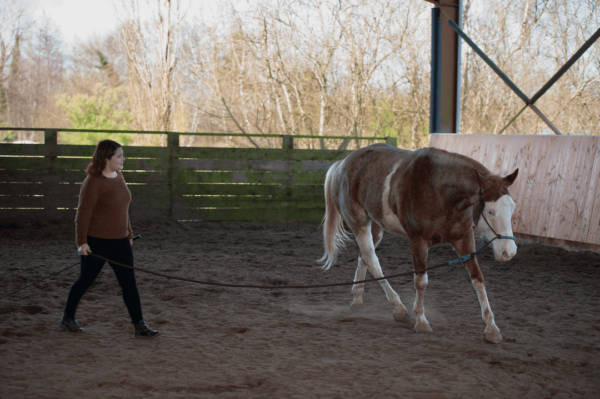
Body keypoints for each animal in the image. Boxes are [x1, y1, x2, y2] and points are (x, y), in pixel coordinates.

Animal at [322, 144, 516, 344]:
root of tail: (342, 164)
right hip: (359, 224)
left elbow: (478, 279)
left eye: (512, 207)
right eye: (491, 211)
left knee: (364, 257)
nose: (508, 252)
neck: (441, 192)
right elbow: (421, 281)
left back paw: (358, 299)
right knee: (372, 261)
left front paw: (491, 328)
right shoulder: (418, 242)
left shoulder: (464, 240)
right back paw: (398, 308)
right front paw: (422, 322)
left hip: (375, 226)